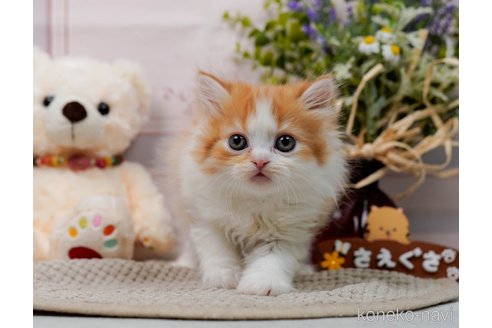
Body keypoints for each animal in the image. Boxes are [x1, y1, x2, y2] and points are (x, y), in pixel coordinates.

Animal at [167, 72, 348, 298]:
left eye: (285, 142)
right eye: (237, 141)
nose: (260, 161)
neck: (256, 200)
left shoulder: (291, 230)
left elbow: (272, 259)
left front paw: (262, 285)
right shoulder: (205, 217)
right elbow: (218, 250)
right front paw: (223, 278)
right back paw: (183, 263)